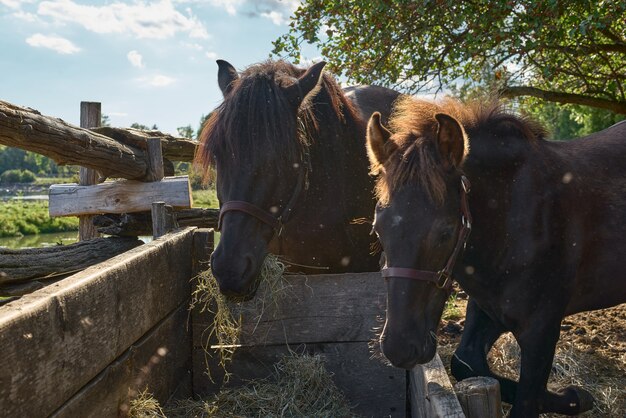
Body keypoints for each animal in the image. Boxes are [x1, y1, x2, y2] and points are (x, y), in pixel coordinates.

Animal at [366, 96, 624, 418]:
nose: (399, 347)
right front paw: (574, 397)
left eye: (445, 231)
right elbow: (465, 363)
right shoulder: (488, 309)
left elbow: (527, 400)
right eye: (378, 229)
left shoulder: (541, 328)